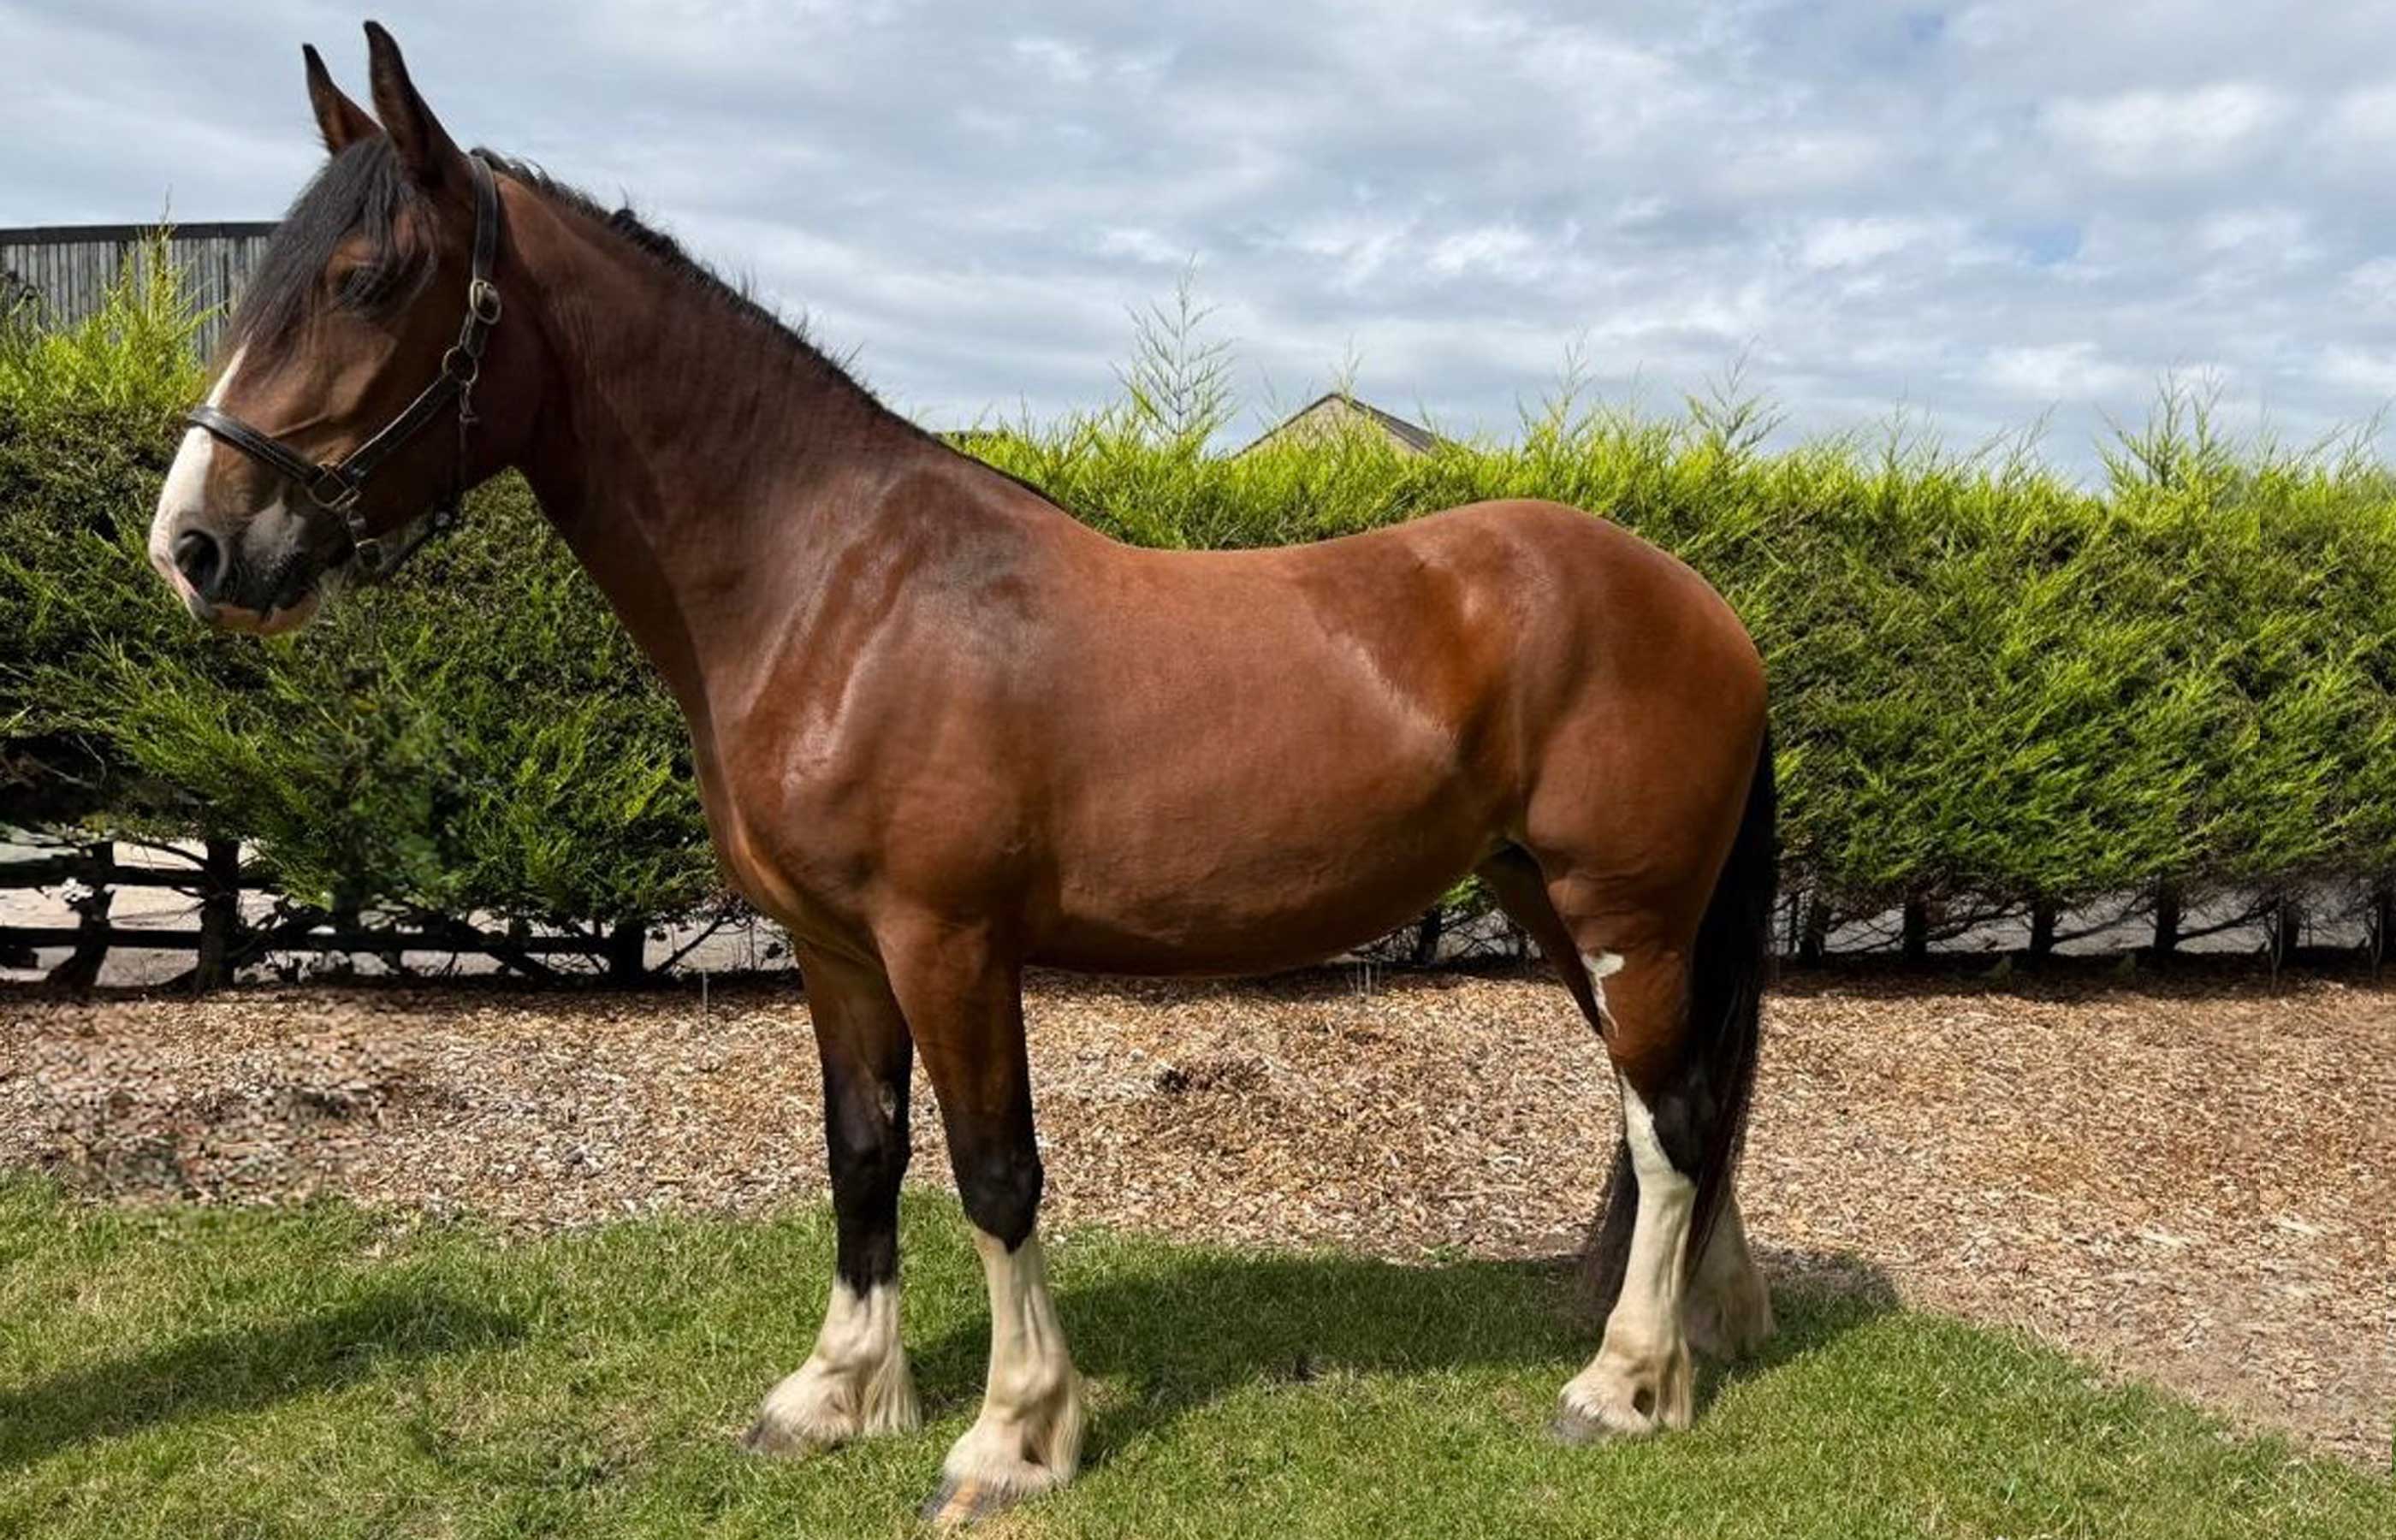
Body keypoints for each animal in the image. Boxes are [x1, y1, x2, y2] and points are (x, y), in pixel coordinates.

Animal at [149, 24, 1778, 1525]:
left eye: (367, 277)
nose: (197, 546)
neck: (833, 589)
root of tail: (1703, 607)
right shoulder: (835, 950)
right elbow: (863, 1156)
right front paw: (835, 1394)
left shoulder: (950, 942)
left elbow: (996, 1175)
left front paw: (1013, 1437)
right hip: (1570, 912)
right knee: (1677, 1114)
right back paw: (1692, 1343)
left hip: (1623, 918)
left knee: (1670, 1124)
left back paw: (1621, 1386)